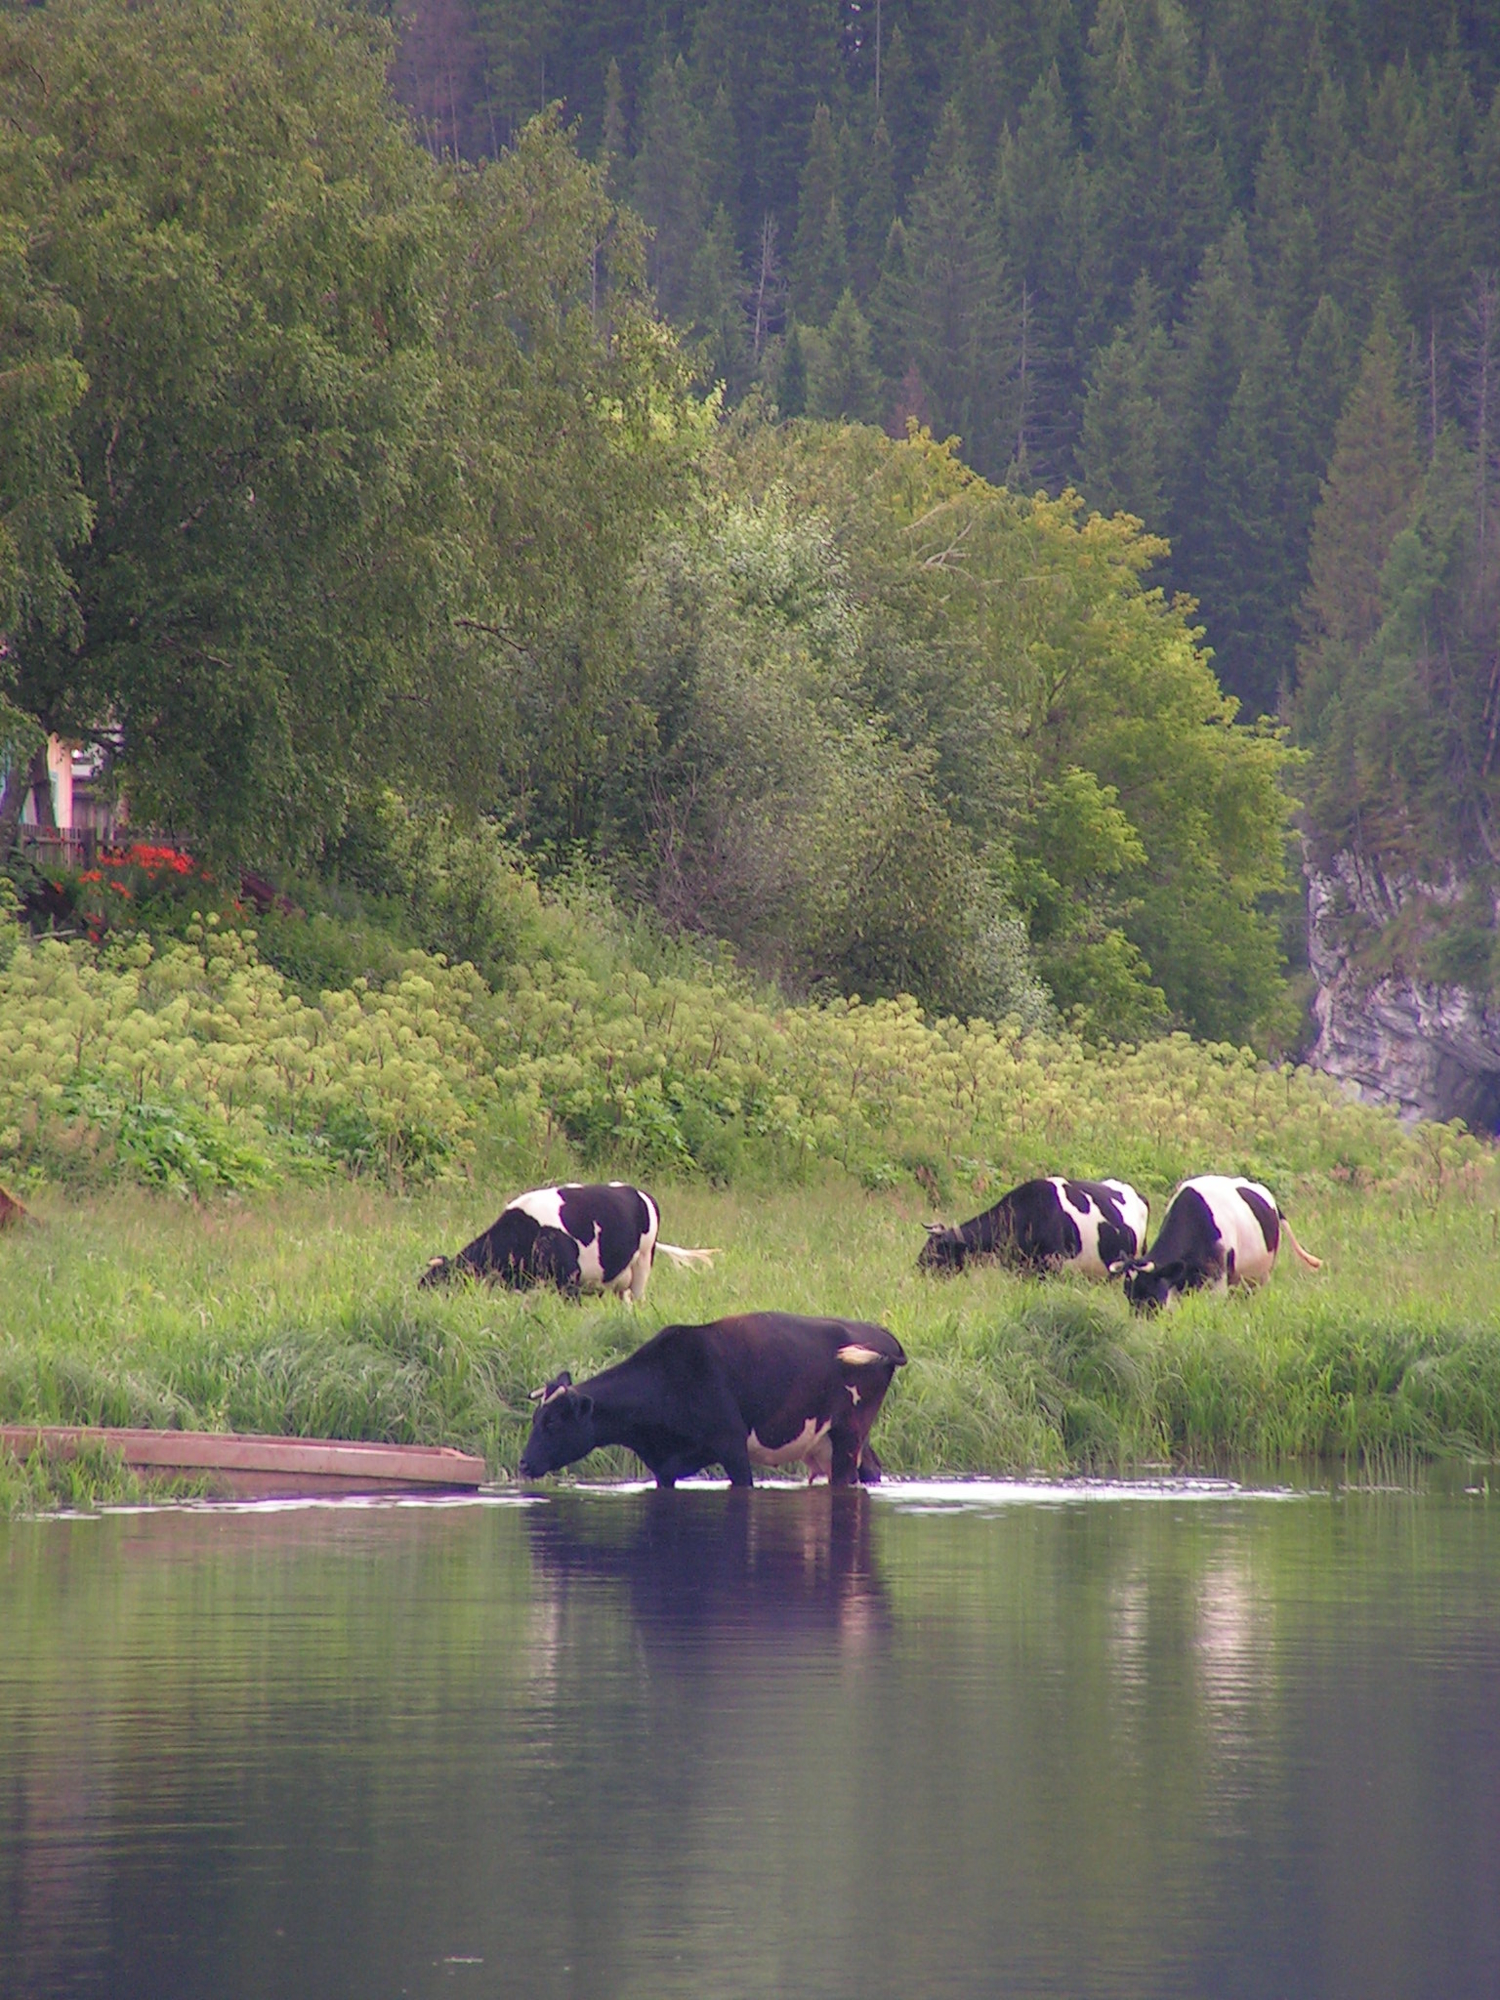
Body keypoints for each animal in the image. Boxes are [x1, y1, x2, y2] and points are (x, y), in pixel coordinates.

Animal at [524, 1312, 912, 1488]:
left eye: (552, 1422)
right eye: (535, 1419)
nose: (524, 1464)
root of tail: (881, 1334)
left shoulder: (731, 1445)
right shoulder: (665, 1466)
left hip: (848, 1434)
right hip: (836, 1440)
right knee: (871, 1469)